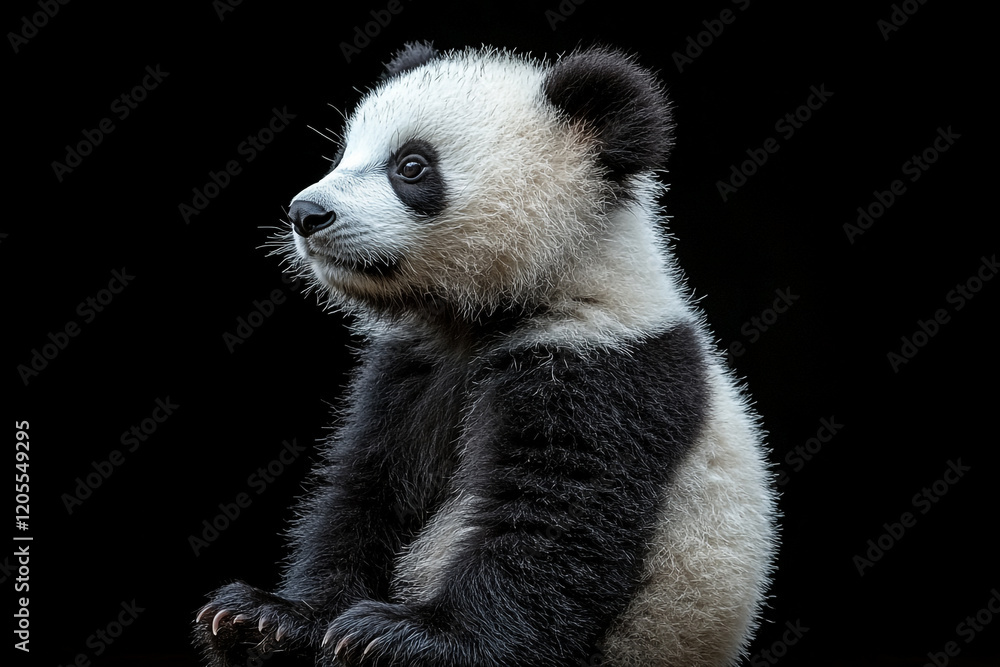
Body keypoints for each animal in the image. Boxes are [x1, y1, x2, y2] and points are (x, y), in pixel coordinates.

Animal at [194, 42, 777, 667]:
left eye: (412, 166)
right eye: (345, 154)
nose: (306, 214)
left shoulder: (603, 366)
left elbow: (551, 520)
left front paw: (409, 638)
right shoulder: (410, 371)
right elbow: (366, 492)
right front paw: (269, 620)